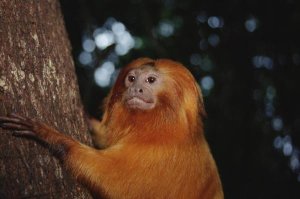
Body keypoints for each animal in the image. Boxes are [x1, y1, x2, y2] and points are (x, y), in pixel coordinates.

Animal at [0, 58, 224, 199]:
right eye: (131, 79)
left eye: (150, 80)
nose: (136, 89)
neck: (159, 125)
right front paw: (89, 121)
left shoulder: (161, 155)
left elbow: (115, 184)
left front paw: (48, 134)